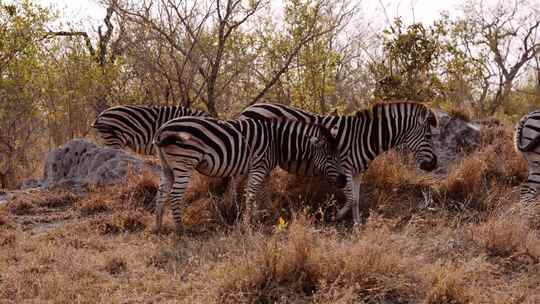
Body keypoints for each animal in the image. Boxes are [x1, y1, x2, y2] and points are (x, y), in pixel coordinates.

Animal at [153, 116, 346, 233]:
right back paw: (180, 230)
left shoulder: (264, 170)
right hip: (184, 163)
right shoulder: (259, 166)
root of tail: (162, 129)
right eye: (331, 157)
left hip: (167, 167)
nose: (344, 181)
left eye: (339, 154)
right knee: (175, 195)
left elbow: (263, 194)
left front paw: (268, 217)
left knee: (161, 194)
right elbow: (251, 194)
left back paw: (158, 226)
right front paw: (248, 224)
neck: (276, 141)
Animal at [240, 102, 438, 226]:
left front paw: (357, 227)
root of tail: (249, 107)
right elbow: (351, 199)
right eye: (429, 136)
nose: (433, 164)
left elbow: (356, 200)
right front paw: (335, 217)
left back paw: (264, 212)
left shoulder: (358, 171)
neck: (364, 137)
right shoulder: (345, 168)